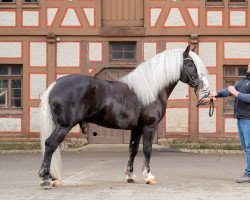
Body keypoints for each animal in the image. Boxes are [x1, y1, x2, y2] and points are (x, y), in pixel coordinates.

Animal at [37, 45, 209, 189]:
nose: (204, 87)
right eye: (190, 64)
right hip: (64, 126)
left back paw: (52, 178)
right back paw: (46, 179)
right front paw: (148, 176)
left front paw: (130, 175)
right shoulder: (149, 126)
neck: (150, 90)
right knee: (50, 144)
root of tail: (55, 85)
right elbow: (147, 150)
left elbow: (133, 149)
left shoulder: (137, 128)